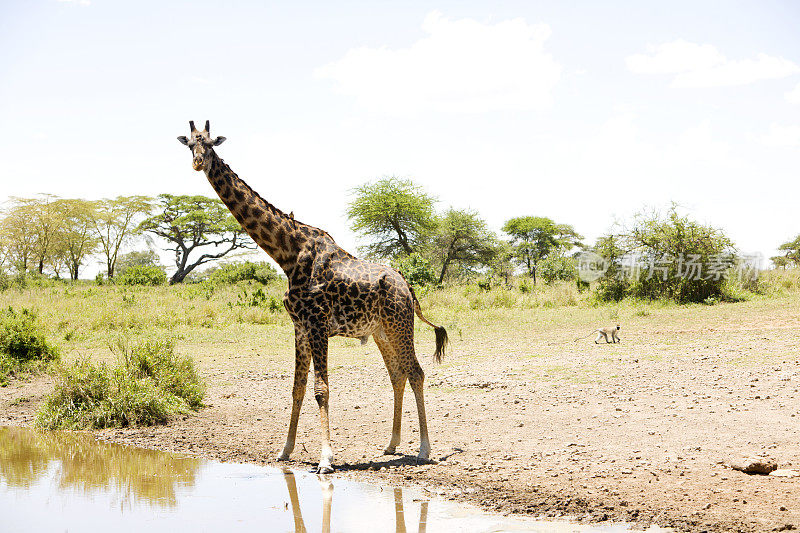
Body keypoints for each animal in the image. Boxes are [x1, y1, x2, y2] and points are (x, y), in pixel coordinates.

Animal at [177, 121, 446, 474]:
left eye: (209, 143)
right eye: (189, 144)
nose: (198, 162)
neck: (287, 254)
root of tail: (407, 285)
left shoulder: (318, 324)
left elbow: (321, 389)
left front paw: (326, 459)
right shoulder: (299, 326)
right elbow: (297, 388)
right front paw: (285, 450)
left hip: (400, 325)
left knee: (416, 372)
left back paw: (424, 449)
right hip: (381, 331)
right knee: (397, 374)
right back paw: (391, 445)